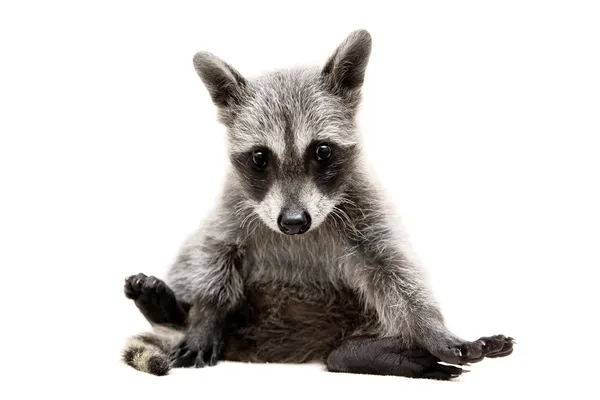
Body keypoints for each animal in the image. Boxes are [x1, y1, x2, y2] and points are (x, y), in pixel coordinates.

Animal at [120, 29, 510, 380]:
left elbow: (395, 271)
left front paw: (433, 329)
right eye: (260, 157)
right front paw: (205, 315)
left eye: (322, 151)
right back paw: (170, 310)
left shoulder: (365, 205)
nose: (293, 222)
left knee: (342, 347)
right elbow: (214, 253)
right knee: (193, 252)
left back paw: (378, 353)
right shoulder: (232, 207)